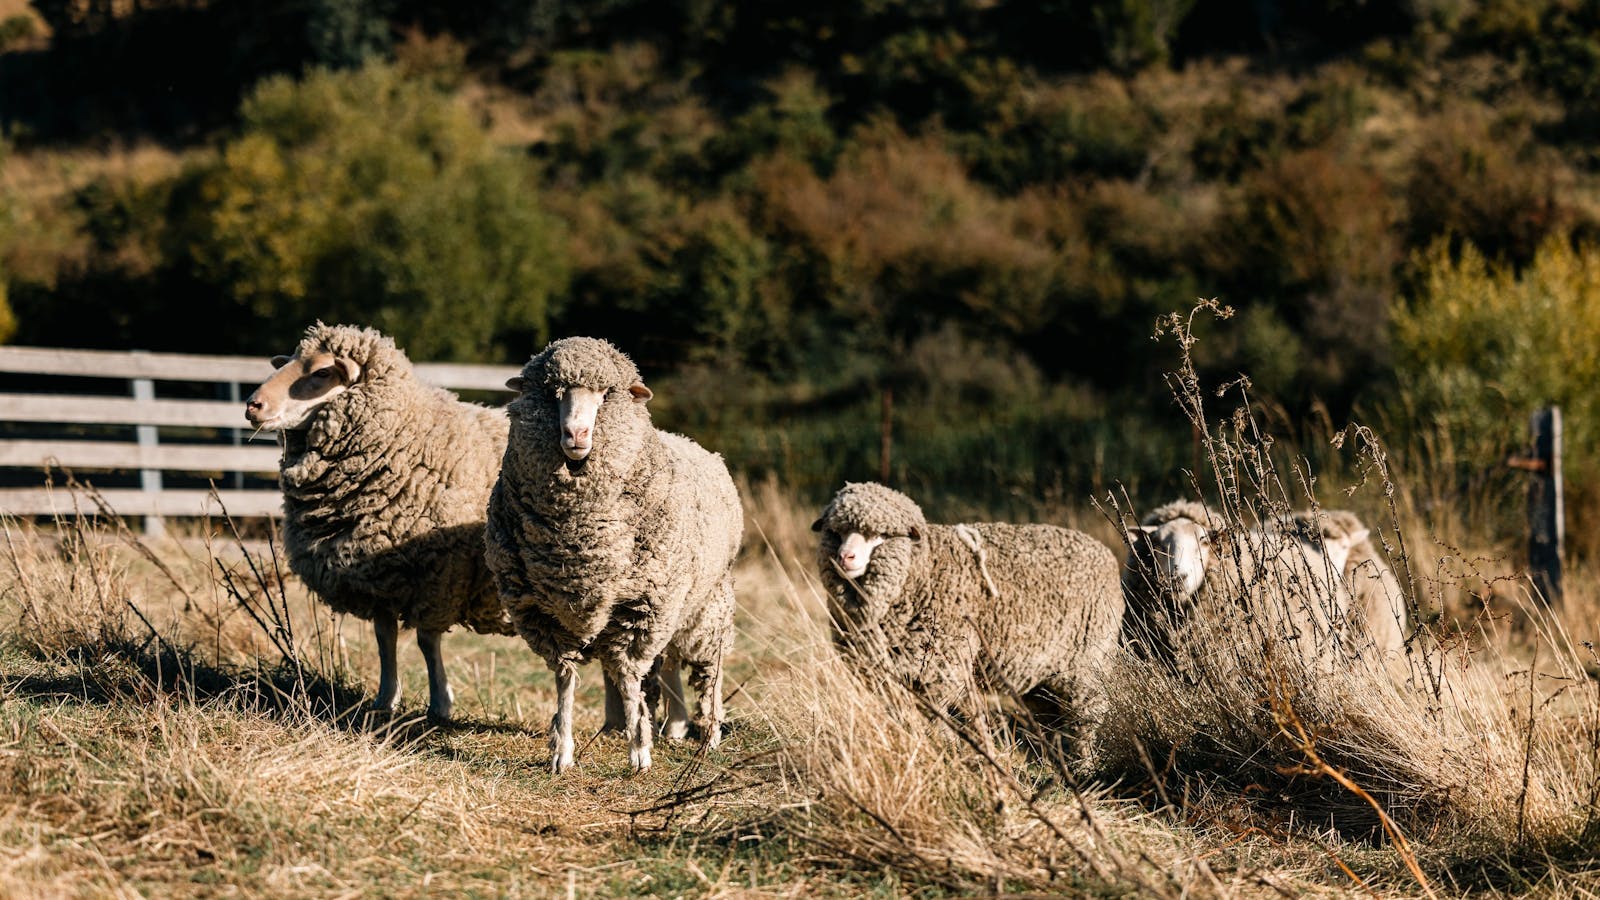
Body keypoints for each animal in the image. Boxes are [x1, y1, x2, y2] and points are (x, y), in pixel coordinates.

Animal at [244, 323, 515, 721]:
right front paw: (385, 700)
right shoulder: (379, 577)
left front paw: (440, 703)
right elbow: (384, 640)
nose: (253, 405)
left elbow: (426, 641)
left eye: (322, 372)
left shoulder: (437, 576)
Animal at [485, 336, 741, 774]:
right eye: (552, 394)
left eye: (606, 394)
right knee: (669, 662)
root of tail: (696, 444)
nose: (576, 433)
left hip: (708, 605)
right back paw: (674, 726)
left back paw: (709, 735)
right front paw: (562, 751)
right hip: (676, 608)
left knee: (710, 669)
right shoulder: (543, 614)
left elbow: (627, 676)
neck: (576, 539)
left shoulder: (642, 607)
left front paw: (639, 751)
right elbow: (565, 681)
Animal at [810, 481, 1124, 761]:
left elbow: (938, 720)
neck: (925, 570)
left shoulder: (940, 668)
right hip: (1043, 672)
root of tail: (1104, 552)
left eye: (881, 536)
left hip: (1088, 660)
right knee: (1052, 717)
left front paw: (949, 751)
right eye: (835, 532)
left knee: (1086, 717)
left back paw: (1084, 765)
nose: (845, 557)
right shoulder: (889, 676)